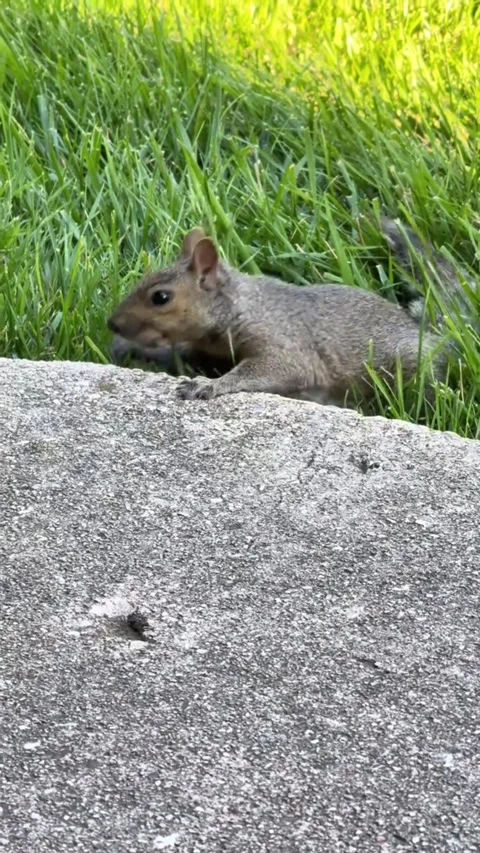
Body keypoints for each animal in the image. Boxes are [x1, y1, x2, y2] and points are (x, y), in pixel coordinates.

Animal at [107, 221, 470, 405]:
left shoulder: (283, 340)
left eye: (161, 297)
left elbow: (275, 368)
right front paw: (131, 349)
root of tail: (431, 333)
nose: (112, 324)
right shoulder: (204, 348)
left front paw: (209, 385)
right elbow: (178, 352)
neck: (241, 305)